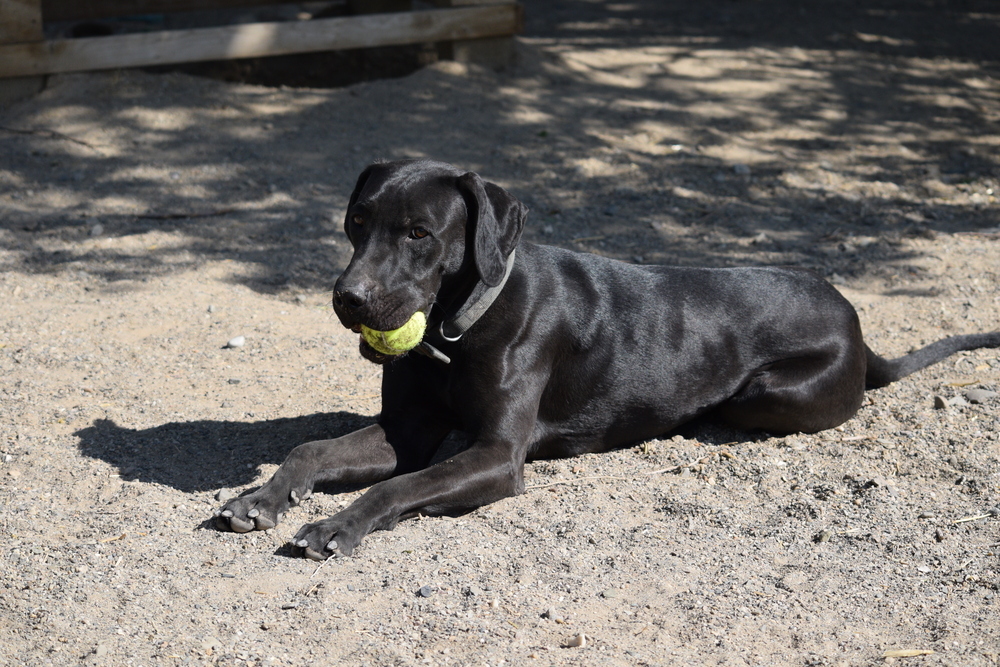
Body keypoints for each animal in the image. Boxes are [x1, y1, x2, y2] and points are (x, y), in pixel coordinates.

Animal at [217, 159, 1000, 560]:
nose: (348, 299)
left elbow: (400, 487)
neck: (454, 330)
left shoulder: (495, 456)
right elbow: (313, 449)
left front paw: (337, 524)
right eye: (356, 223)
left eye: (418, 233)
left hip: (771, 393)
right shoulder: (408, 429)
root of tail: (858, 324)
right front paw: (262, 497)